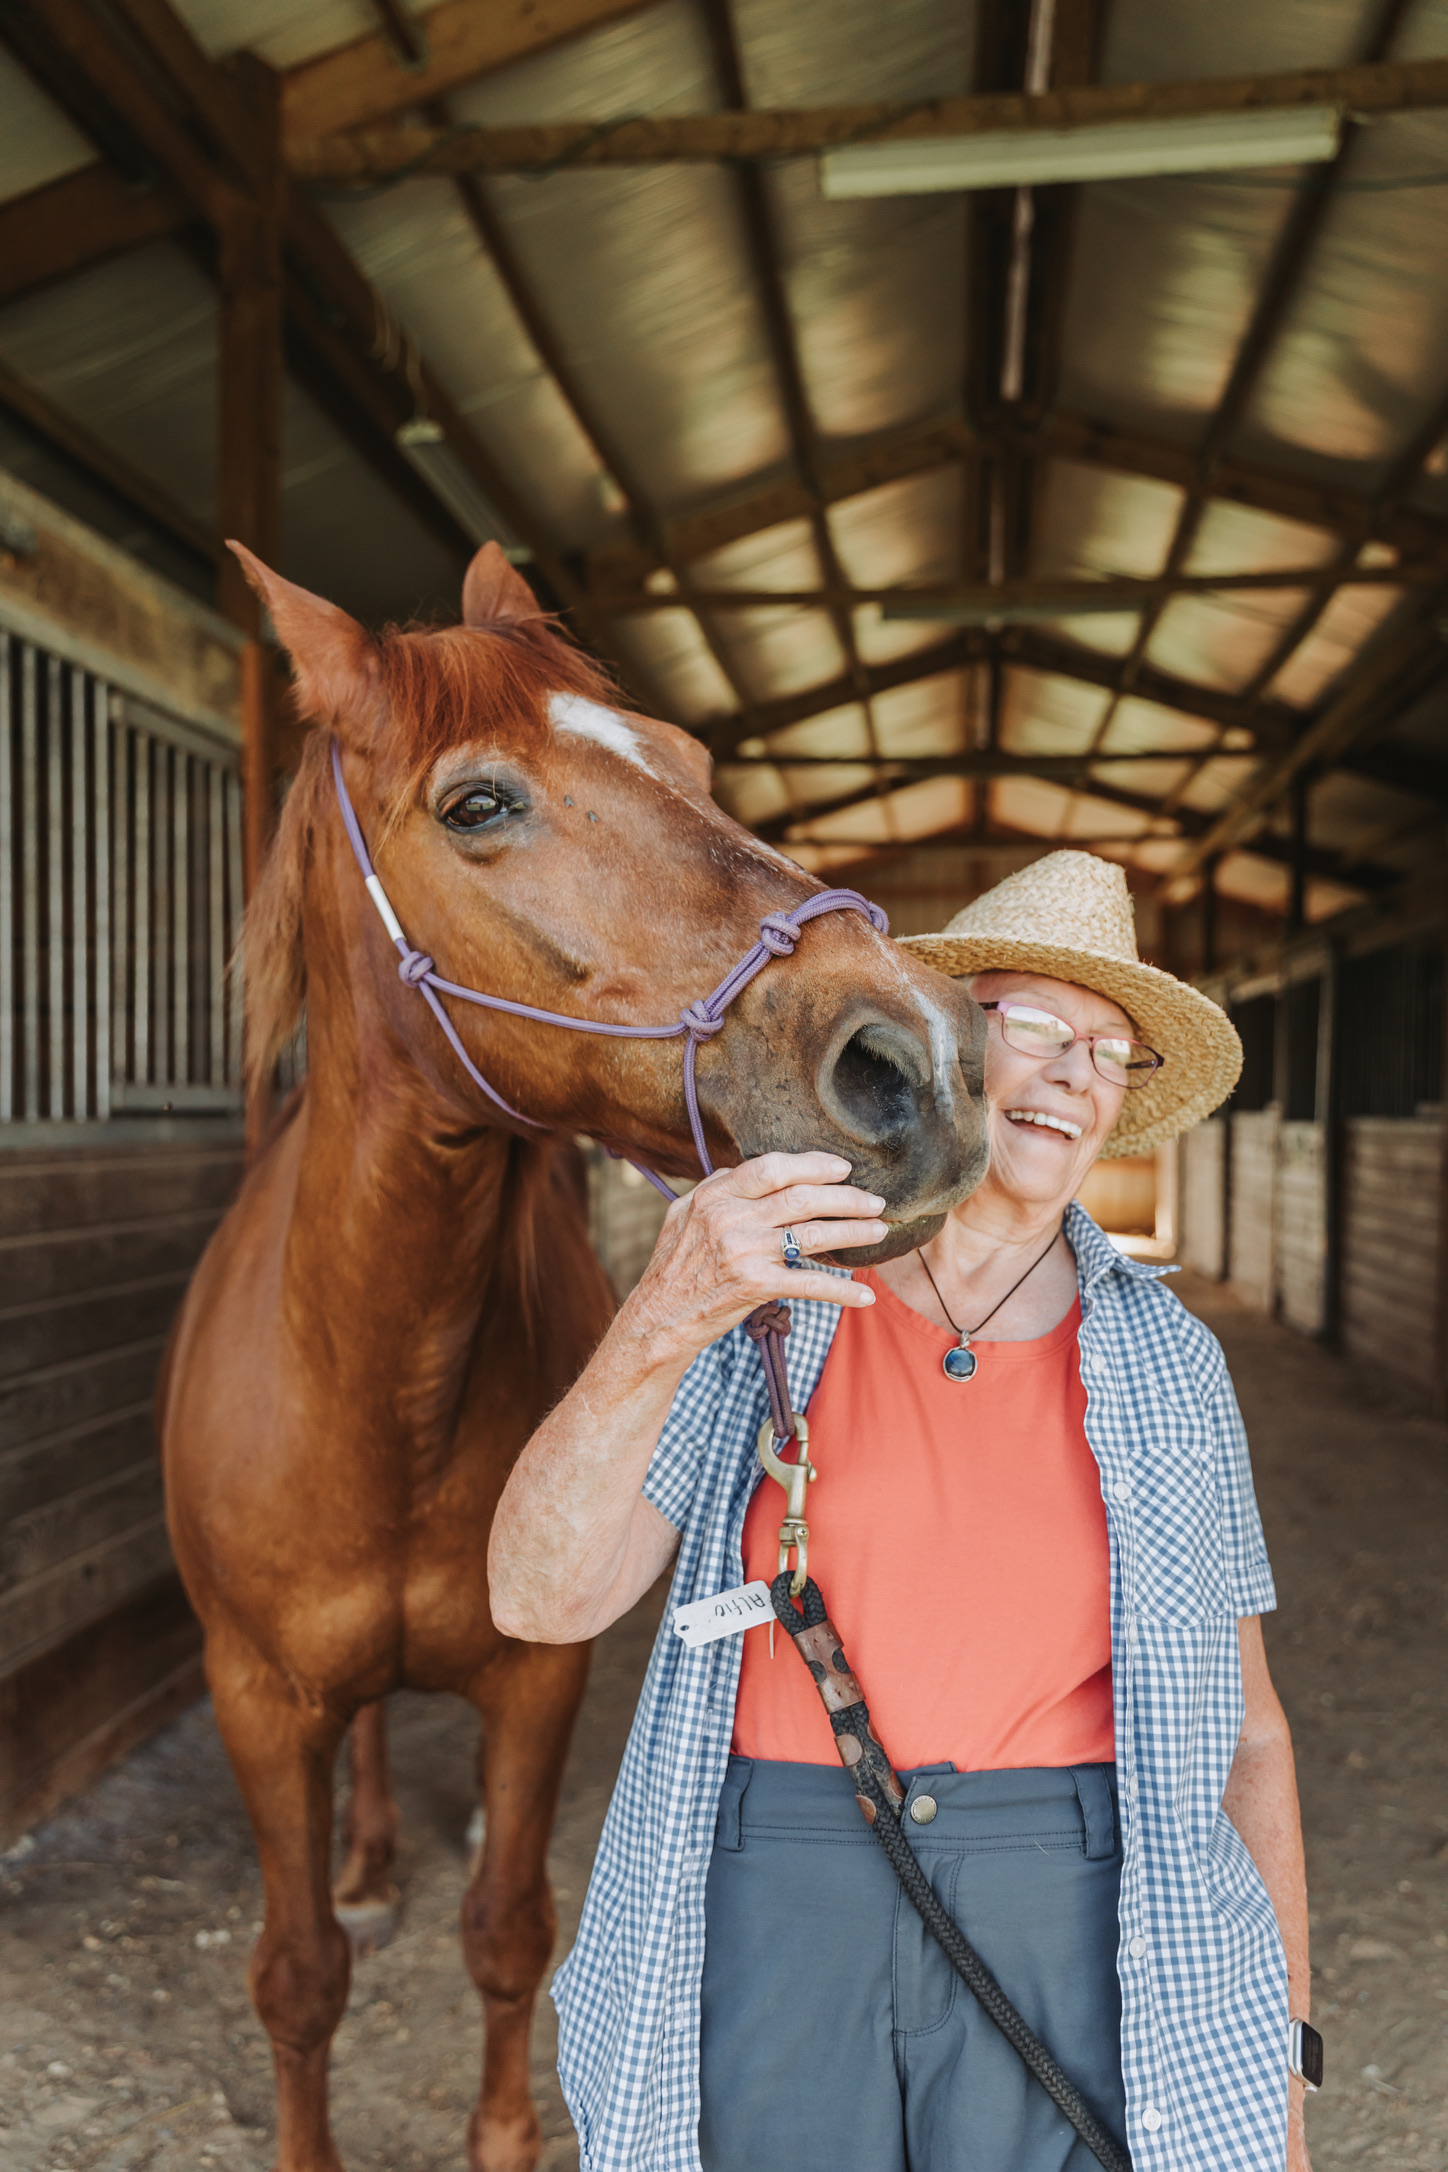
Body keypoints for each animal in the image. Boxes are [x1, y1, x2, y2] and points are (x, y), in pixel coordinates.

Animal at [159, 539, 990, 2172]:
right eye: (479, 802)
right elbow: (298, 1977)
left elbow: (505, 1934)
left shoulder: (535, 1681)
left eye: (691, 763)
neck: (377, 1381)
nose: (918, 1055)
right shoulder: (253, 1698)